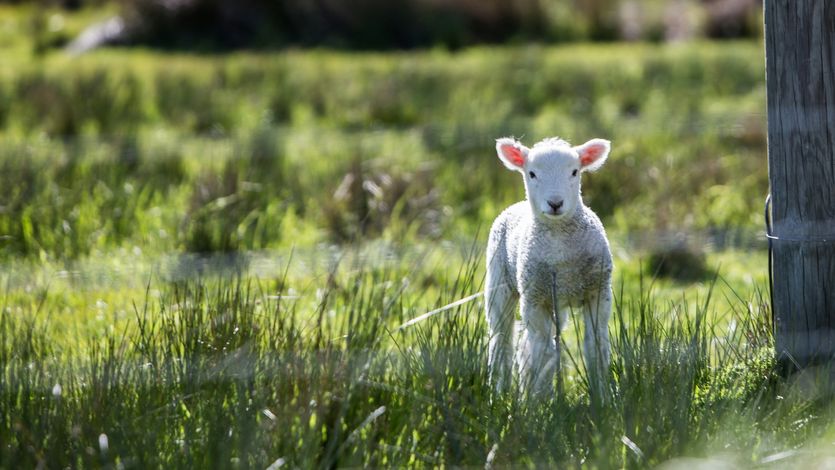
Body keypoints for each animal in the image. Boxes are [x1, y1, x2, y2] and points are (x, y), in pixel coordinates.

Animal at [485, 136, 613, 397]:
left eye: (575, 172)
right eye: (532, 173)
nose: (555, 203)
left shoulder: (598, 292)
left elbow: (596, 347)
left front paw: (602, 396)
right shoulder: (535, 299)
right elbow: (543, 353)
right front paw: (539, 400)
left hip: (556, 301)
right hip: (499, 283)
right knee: (502, 340)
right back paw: (499, 392)